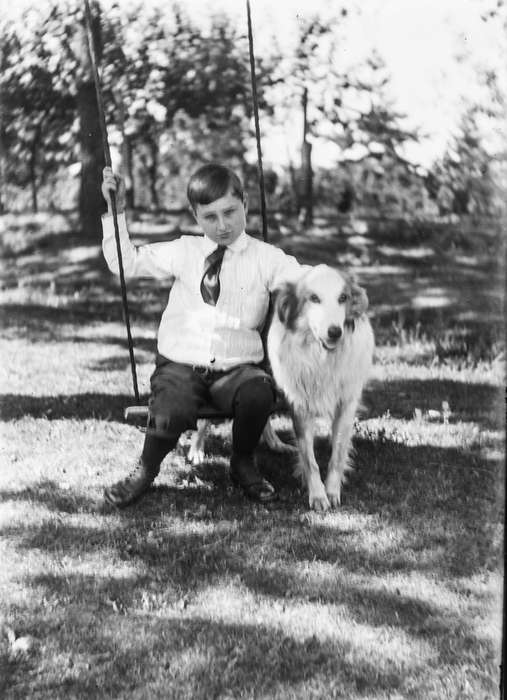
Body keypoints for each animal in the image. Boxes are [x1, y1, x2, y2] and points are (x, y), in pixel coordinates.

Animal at [268, 266, 376, 512]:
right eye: (314, 298)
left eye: (343, 298)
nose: (335, 332)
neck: (322, 358)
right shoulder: (299, 407)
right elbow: (310, 460)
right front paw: (317, 495)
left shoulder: (346, 405)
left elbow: (337, 454)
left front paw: (332, 491)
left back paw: (274, 443)